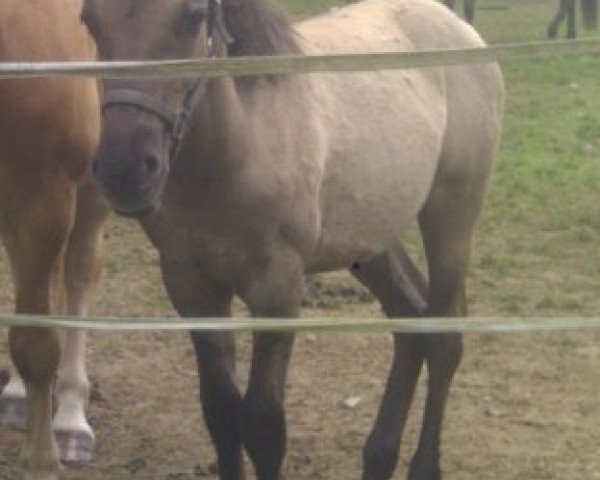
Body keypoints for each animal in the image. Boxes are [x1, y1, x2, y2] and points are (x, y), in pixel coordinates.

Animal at [86, 0, 504, 480]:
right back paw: (378, 457)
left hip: (451, 217)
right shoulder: (192, 289)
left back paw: (422, 466)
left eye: (192, 16)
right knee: (411, 318)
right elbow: (221, 413)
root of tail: (457, 26)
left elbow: (264, 426)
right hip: (369, 241)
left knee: (444, 338)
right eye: (89, 19)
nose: (125, 170)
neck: (238, 147)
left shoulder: (278, 290)